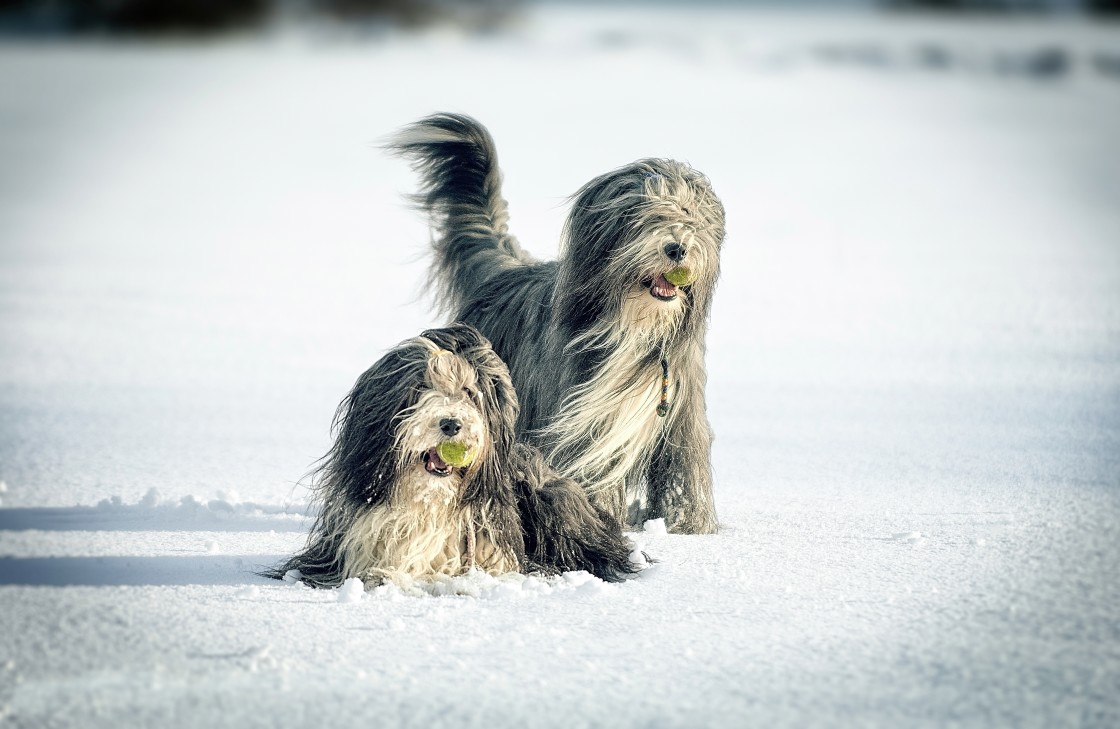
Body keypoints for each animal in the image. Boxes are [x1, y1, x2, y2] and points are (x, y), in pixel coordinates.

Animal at [394, 115, 725, 535]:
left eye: (688, 216)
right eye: (643, 217)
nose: (677, 248)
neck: (632, 327)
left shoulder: (682, 415)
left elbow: (684, 474)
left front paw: (691, 529)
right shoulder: (581, 422)